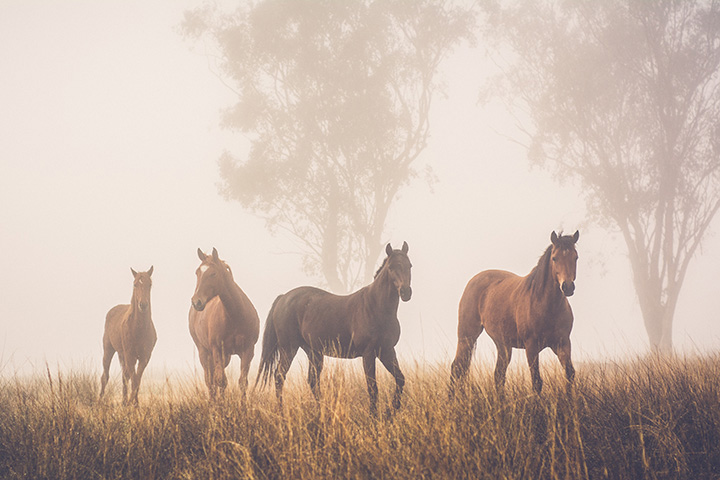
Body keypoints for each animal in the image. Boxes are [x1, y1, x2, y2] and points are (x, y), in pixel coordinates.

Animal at [100, 266, 156, 406]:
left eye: (150, 284)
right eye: (135, 284)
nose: (143, 305)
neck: (139, 329)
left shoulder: (145, 357)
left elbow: (137, 379)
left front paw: (134, 403)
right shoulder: (130, 355)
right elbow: (134, 379)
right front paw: (133, 403)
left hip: (122, 355)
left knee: (125, 377)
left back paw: (124, 401)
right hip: (109, 350)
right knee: (105, 376)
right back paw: (99, 400)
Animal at [189, 247, 259, 399]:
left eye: (213, 273)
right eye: (197, 272)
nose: (196, 302)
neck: (235, 316)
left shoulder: (248, 350)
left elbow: (242, 382)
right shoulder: (216, 350)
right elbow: (220, 381)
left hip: (225, 357)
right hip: (204, 352)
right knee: (210, 382)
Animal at [257, 242, 412, 415]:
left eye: (409, 265)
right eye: (391, 267)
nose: (406, 292)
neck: (376, 307)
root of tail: (283, 297)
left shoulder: (387, 351)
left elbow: (400, 379)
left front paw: (391, 411)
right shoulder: (369, 353)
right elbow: (372, 388)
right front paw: (375, 415)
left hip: (313, 352)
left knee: (312, 381)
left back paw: (322, 412)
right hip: (288, 348)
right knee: (279, 376)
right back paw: (281, 413)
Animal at [450, 231, 579, 395]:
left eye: (575, 257)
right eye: (554, 258)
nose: (567, 287)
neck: (545, 304)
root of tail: (473, 281)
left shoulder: (562, 343)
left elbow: (569, 374)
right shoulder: (531, 346)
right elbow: (536, 382)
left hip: (502, 344)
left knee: (498, 375)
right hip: (467, 336)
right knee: (456, 368)